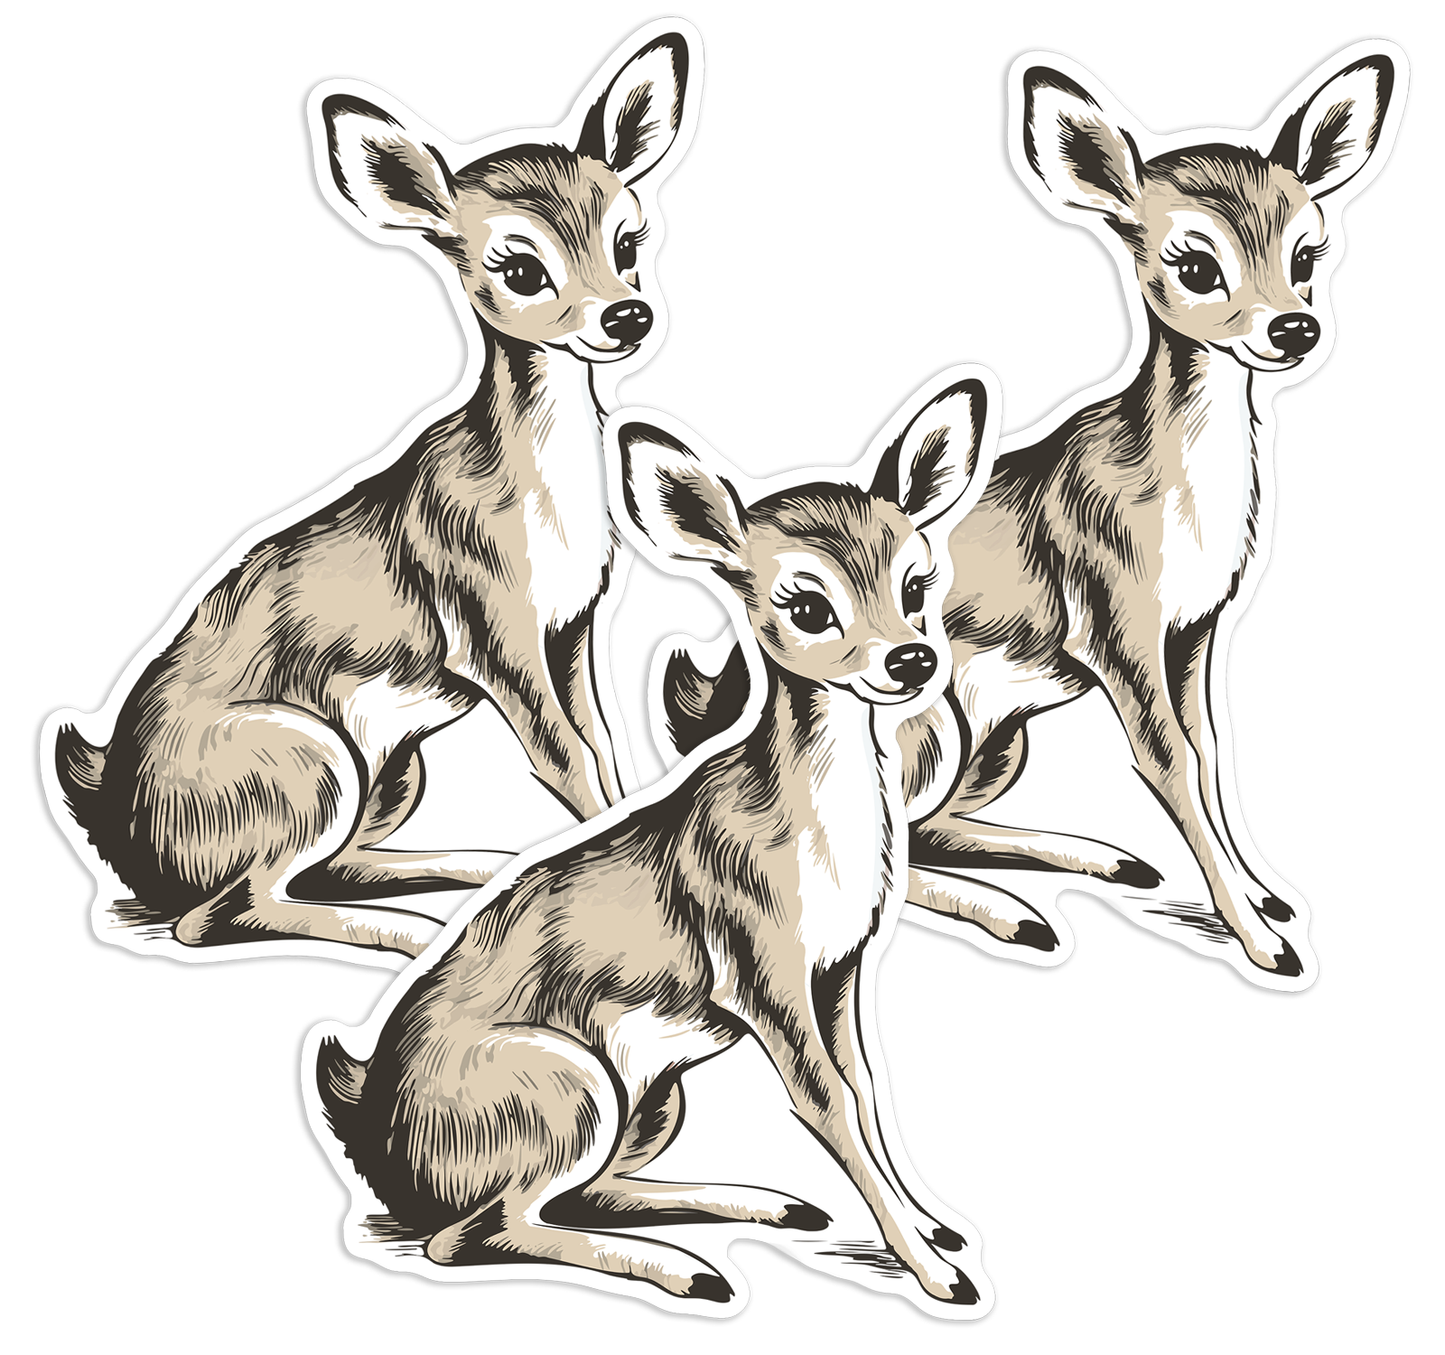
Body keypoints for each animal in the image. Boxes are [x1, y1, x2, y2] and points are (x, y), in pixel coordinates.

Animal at [45, 24, 699, 960]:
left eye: (629, 241)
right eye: (519, 267)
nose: (626, 316)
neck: (543, 498)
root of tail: (119, 818)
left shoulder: (570, 633)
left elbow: (604, 755)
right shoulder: (497, 642)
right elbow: (567, 763)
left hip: (391, 771)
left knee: (321, 868)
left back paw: (479, 868)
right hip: (314, 761)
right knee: (219, 915)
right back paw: (420, 932)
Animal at [305, 372, 999, 1315]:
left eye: (916, 579)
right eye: (806, 602)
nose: (912, 660)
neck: (818, 838)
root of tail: (375, 1132)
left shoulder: (838, 973)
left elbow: (865, 1095)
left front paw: (933, 1228)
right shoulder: (767, 983)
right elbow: (829, 1108)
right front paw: (938, 1274)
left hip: (647, 1099)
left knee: (571, 1196)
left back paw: (765, 1205)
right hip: (574, 1083)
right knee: (472, 1235)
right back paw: (692, 1269)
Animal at [661, 47, 1404, 986]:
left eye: (1308, 250)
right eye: (1196, 264)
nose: (1293, 327)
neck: (1174, 495)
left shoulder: (1193, 632)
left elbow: (1208, 753)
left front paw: (1263, 896)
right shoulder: (1120, 635)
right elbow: (1169, 761)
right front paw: (1263, 942)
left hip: (998, 741)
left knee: (930, 829)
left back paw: (1100, 859)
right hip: (935, 724)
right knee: (894, 848)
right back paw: (1020, 913)